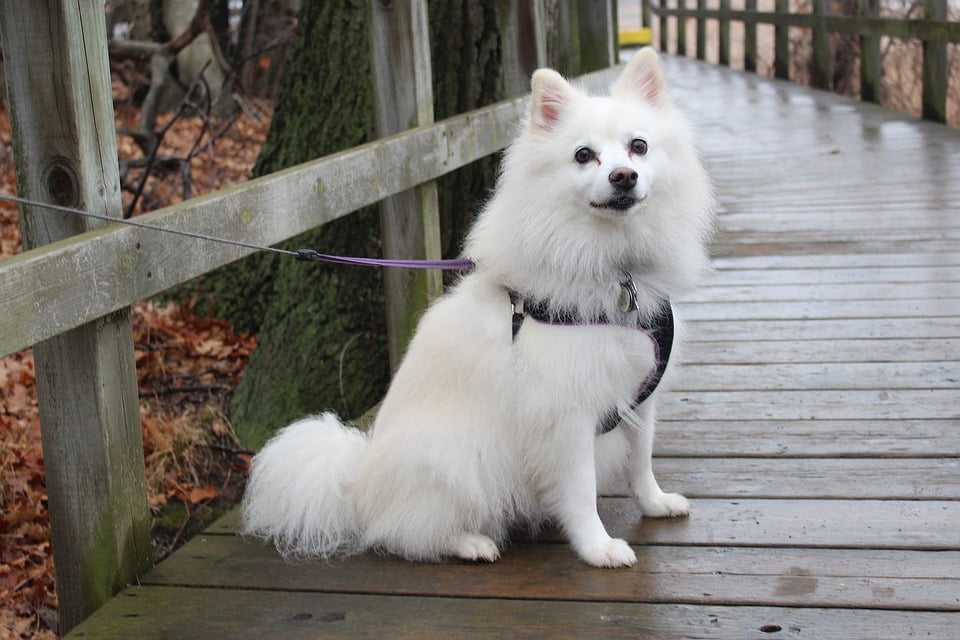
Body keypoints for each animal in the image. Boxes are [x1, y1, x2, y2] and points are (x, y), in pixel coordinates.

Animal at [244, 51, 716, 568]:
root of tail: (357, 484)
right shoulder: (566, 414)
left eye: (639, 147)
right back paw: (471, 543)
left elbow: (641, 460)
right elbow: (581, 490)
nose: (623, 176)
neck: (613, 266)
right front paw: (598, 548)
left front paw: (655, 504)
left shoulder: (639, 392)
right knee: (405, 534)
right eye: (583, 155)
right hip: (454, 458)